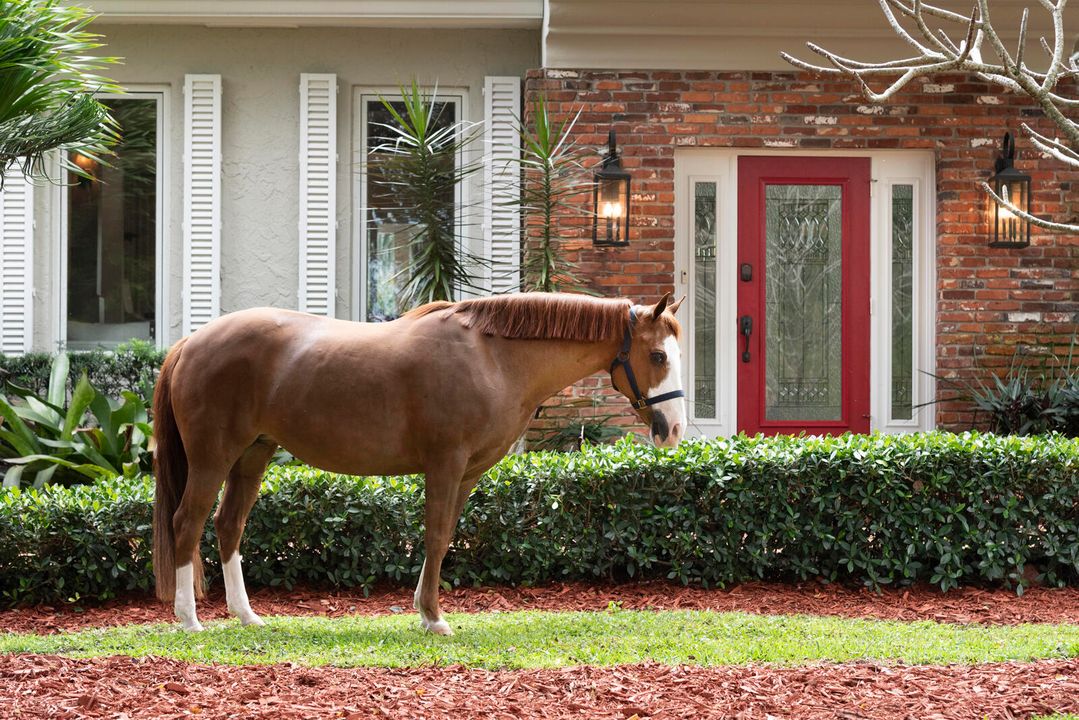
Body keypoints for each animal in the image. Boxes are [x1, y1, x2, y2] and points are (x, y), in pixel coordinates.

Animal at [154, 289, 681, 634]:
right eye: (658, 355)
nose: (672, 430)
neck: (493, 357)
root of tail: (190, 344)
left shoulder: (467, 473)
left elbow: (446, 536)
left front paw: (424, 608)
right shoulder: (445, 464)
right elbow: (436, 534)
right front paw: (433, 617)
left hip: (252, 455)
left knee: (228, 525)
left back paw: (246, 615)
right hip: (212, 458)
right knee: (187, 523)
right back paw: (189, 620)